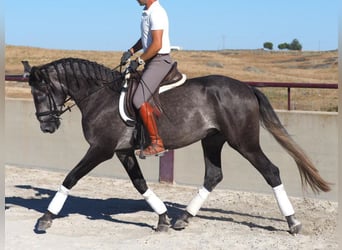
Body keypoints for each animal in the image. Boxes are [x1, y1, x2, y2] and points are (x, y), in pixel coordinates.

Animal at [26, 57, 332, 234]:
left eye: (39, 93)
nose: (46, 127)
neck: (100, 96)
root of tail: (246, 87)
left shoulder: (101, 149)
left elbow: (70, 178)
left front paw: (45, 218)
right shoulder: (122, 151)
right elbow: (140, 184)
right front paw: (162, 218)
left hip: (243, 142)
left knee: (271, 172)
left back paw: (293, 222)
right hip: (212, 139)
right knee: (213, 175)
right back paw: (183, 217)